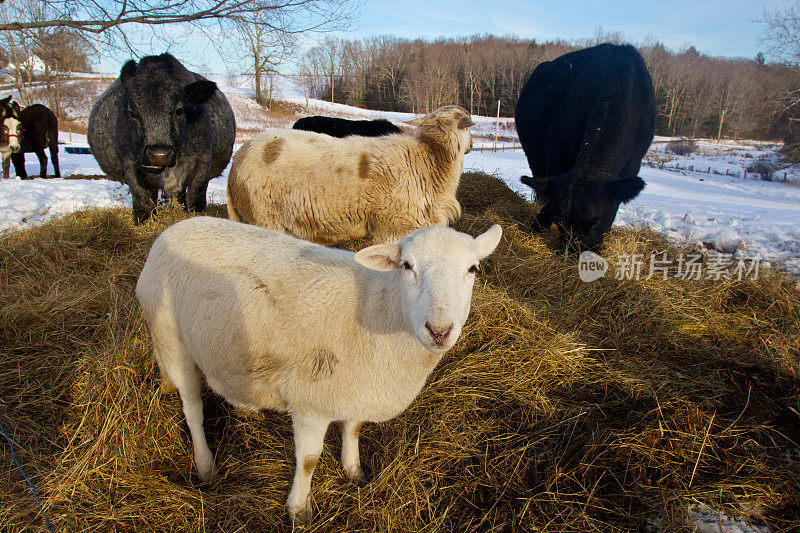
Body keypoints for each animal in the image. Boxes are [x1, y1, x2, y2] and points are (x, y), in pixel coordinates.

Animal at [90, 52, 238, 222]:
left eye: (179, 110)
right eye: (132, 113)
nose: (159, 154)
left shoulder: (203, 162)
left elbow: (195, 200)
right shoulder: (129, 164)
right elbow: (143, 203)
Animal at [136, 215, 500, 524]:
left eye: (472, 269)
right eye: (407, 266)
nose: (439, 331)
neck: (379, 310)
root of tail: (173, 229)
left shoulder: (357, 387)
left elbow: (353, 428)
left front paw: (353, 471)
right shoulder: (311, 402)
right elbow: (309, 460)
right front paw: (299, 509)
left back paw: (246, 408)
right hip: (172, 340)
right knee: (193, 410)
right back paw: (206, 466)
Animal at [512, 42, 656, 250]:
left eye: (595, 222)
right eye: (560, 222)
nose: (574, 252)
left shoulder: (632, 164)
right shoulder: (558, 152)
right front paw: (540, 222)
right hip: (535, 156)